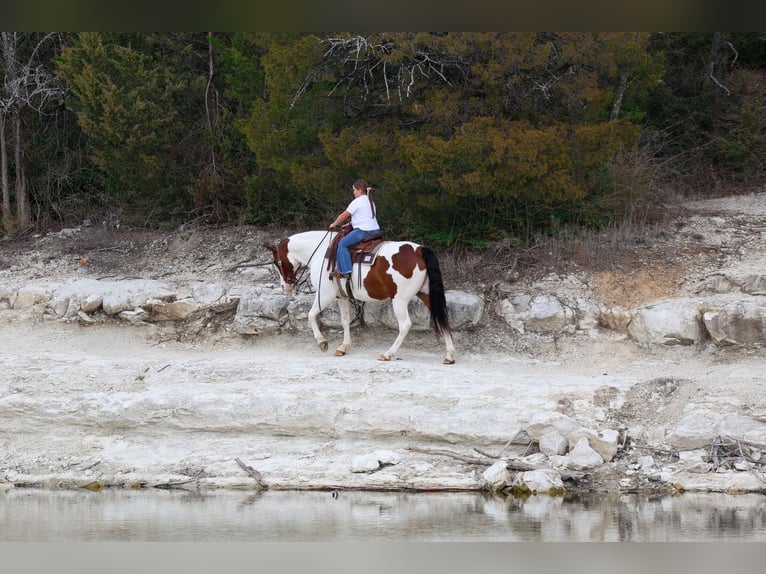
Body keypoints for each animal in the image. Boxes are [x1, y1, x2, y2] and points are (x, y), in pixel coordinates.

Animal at [267, 230, 456, 364]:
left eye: (277, 262)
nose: (285, 286)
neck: (322, 251)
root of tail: (420, 250)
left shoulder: (325, 294)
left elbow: (311, 315)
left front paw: (322, 342)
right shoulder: (340, 296)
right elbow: (344, 321)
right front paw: (343, 347)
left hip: (400, 300)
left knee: (405, 325)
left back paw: (388, 354)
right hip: (427, 295)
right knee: (443, 319)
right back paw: (449, 355)